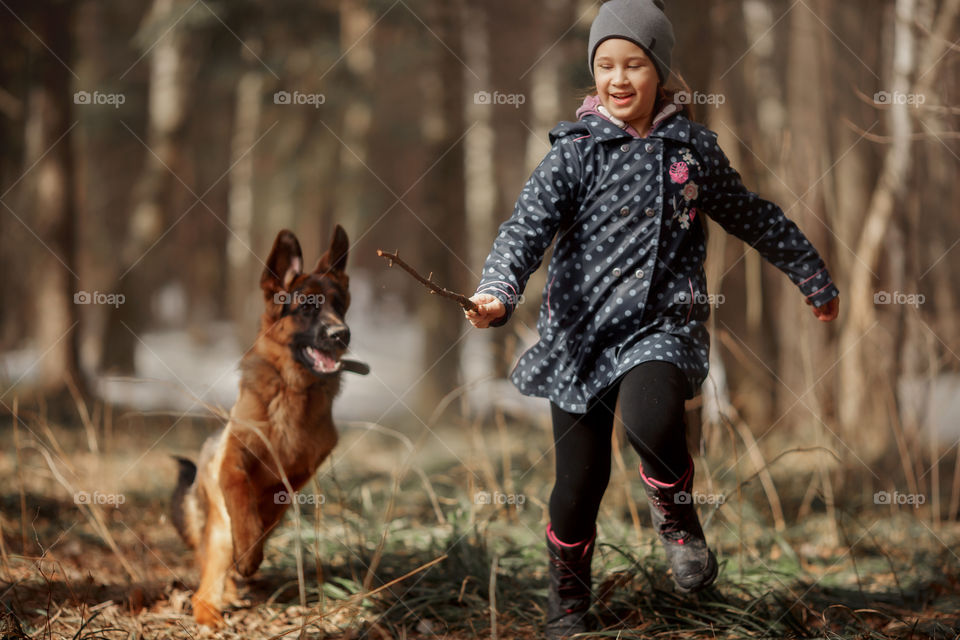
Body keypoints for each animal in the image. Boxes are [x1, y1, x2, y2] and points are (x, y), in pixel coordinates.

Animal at [171, 228, 370, 628]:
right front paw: (249, 550)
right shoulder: (234, 457)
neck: (292, 392)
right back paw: (213, 608)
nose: (341, 334)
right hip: (216, 533)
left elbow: (274, 503)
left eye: (339, 305)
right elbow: (241, 497)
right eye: (307, 306)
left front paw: (256, 541)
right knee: (204, 587)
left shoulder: (299, 472)